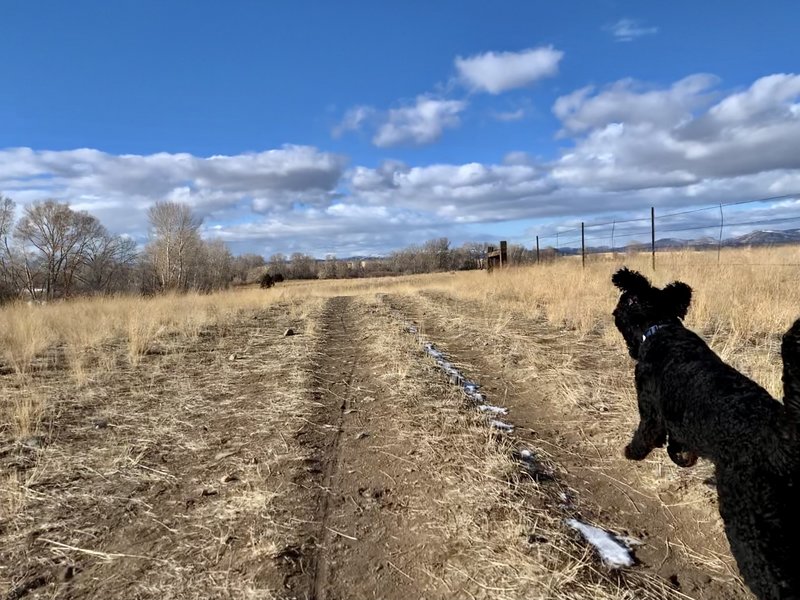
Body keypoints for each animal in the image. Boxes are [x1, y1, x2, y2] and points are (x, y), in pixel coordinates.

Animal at [612, 268, 800, 600]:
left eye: (621, 308)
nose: (612, 314)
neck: (662, 330)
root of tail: (783, 439)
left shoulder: (650, 411)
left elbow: (646, 435)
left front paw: (631, 452)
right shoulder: (680, 420)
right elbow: (677, 445)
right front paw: (681, 457)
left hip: (749, 519)